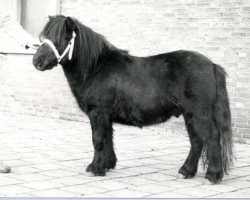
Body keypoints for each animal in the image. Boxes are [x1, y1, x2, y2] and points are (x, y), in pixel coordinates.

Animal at [32, 15, 233, 184]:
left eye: (61, 38)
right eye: (44, 37)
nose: (36, 61)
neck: (96, 68)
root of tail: (212, 65)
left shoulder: (98, 113)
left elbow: (98, 139)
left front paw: (96, 168)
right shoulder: (105, 116)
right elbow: (108, 138)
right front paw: (107, 165)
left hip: (199, 114)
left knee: (211, 138)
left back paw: (213, 175)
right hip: (189, 114)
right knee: (197, 141)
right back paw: (186, 171)